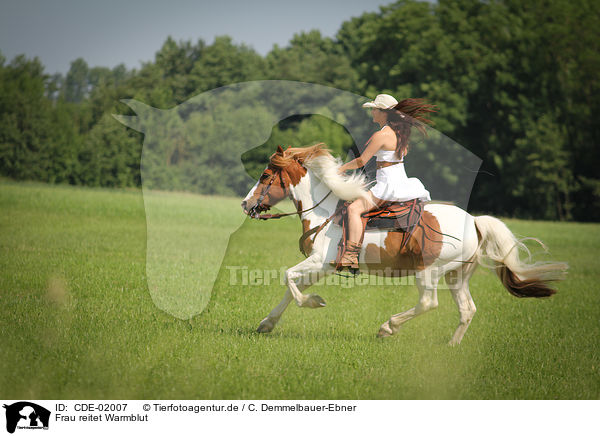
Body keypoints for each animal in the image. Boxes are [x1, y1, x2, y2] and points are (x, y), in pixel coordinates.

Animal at [240, 144, 568, 344]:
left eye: (266, 175)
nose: (245, 204)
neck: (325, 213)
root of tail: (475, 222)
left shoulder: (319, 261)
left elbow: (288, 278)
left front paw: (314, 302)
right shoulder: (322, 267)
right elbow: (292, 287)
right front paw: (267, 323)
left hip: (430, 272)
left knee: (428, 303)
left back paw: (388, 327)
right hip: (457, 275)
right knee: (467, 309)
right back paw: (451, 346)